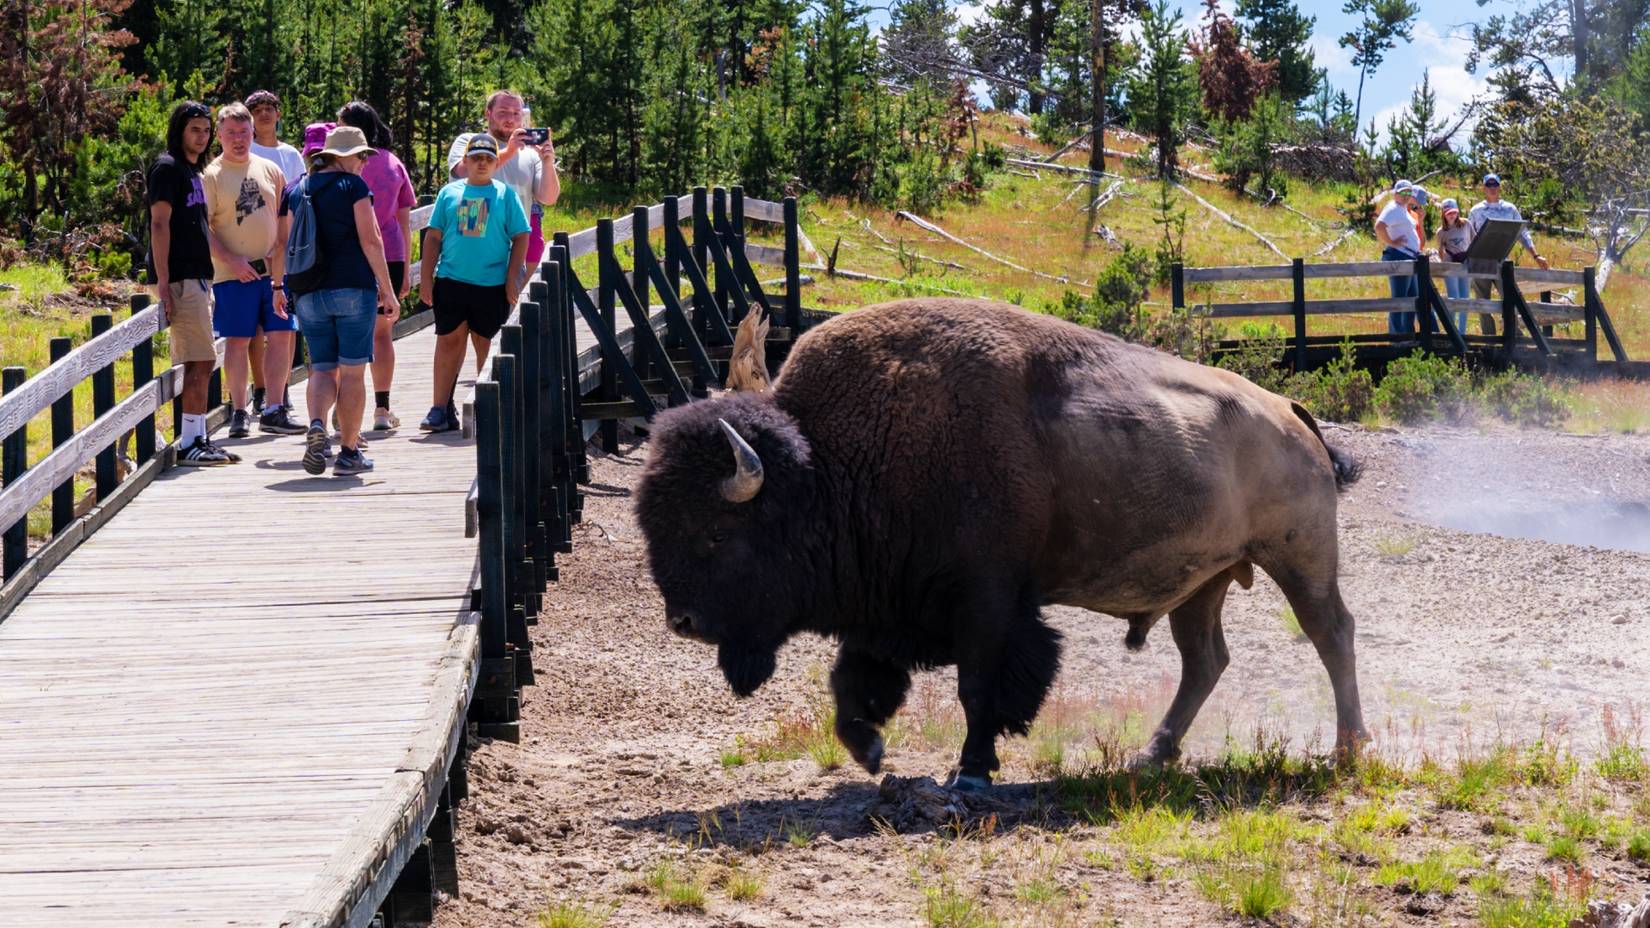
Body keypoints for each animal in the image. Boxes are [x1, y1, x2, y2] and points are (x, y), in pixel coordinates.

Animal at [636, 298, 1368, 790]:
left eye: (717, 531)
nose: (684, 621)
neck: (829, 464)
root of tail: (1292, 412)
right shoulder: (885, 608)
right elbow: (853, 686)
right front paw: (871, 753)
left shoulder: (987, 603)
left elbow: (980, 687)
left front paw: (971, 773)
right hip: (1203, 582)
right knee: (1205, 660)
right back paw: (1152, 756)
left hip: (1298, 558)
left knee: (1330, 633)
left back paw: (1347, 750)